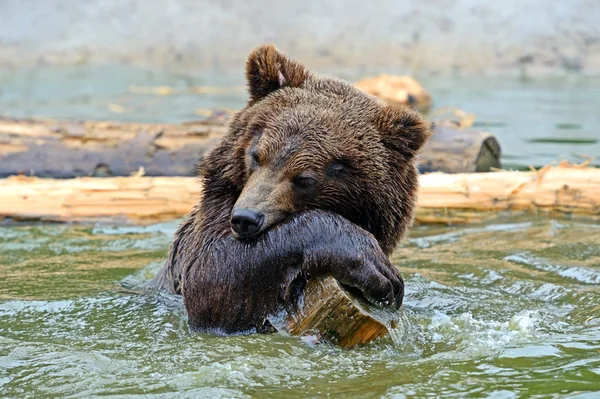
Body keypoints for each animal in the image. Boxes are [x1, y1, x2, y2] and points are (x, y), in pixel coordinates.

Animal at [152, 45, 428, 336]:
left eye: (304, 178)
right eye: (255, 155)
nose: (245, 218)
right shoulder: (201, 239)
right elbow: (211, 280)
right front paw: (379, 271)